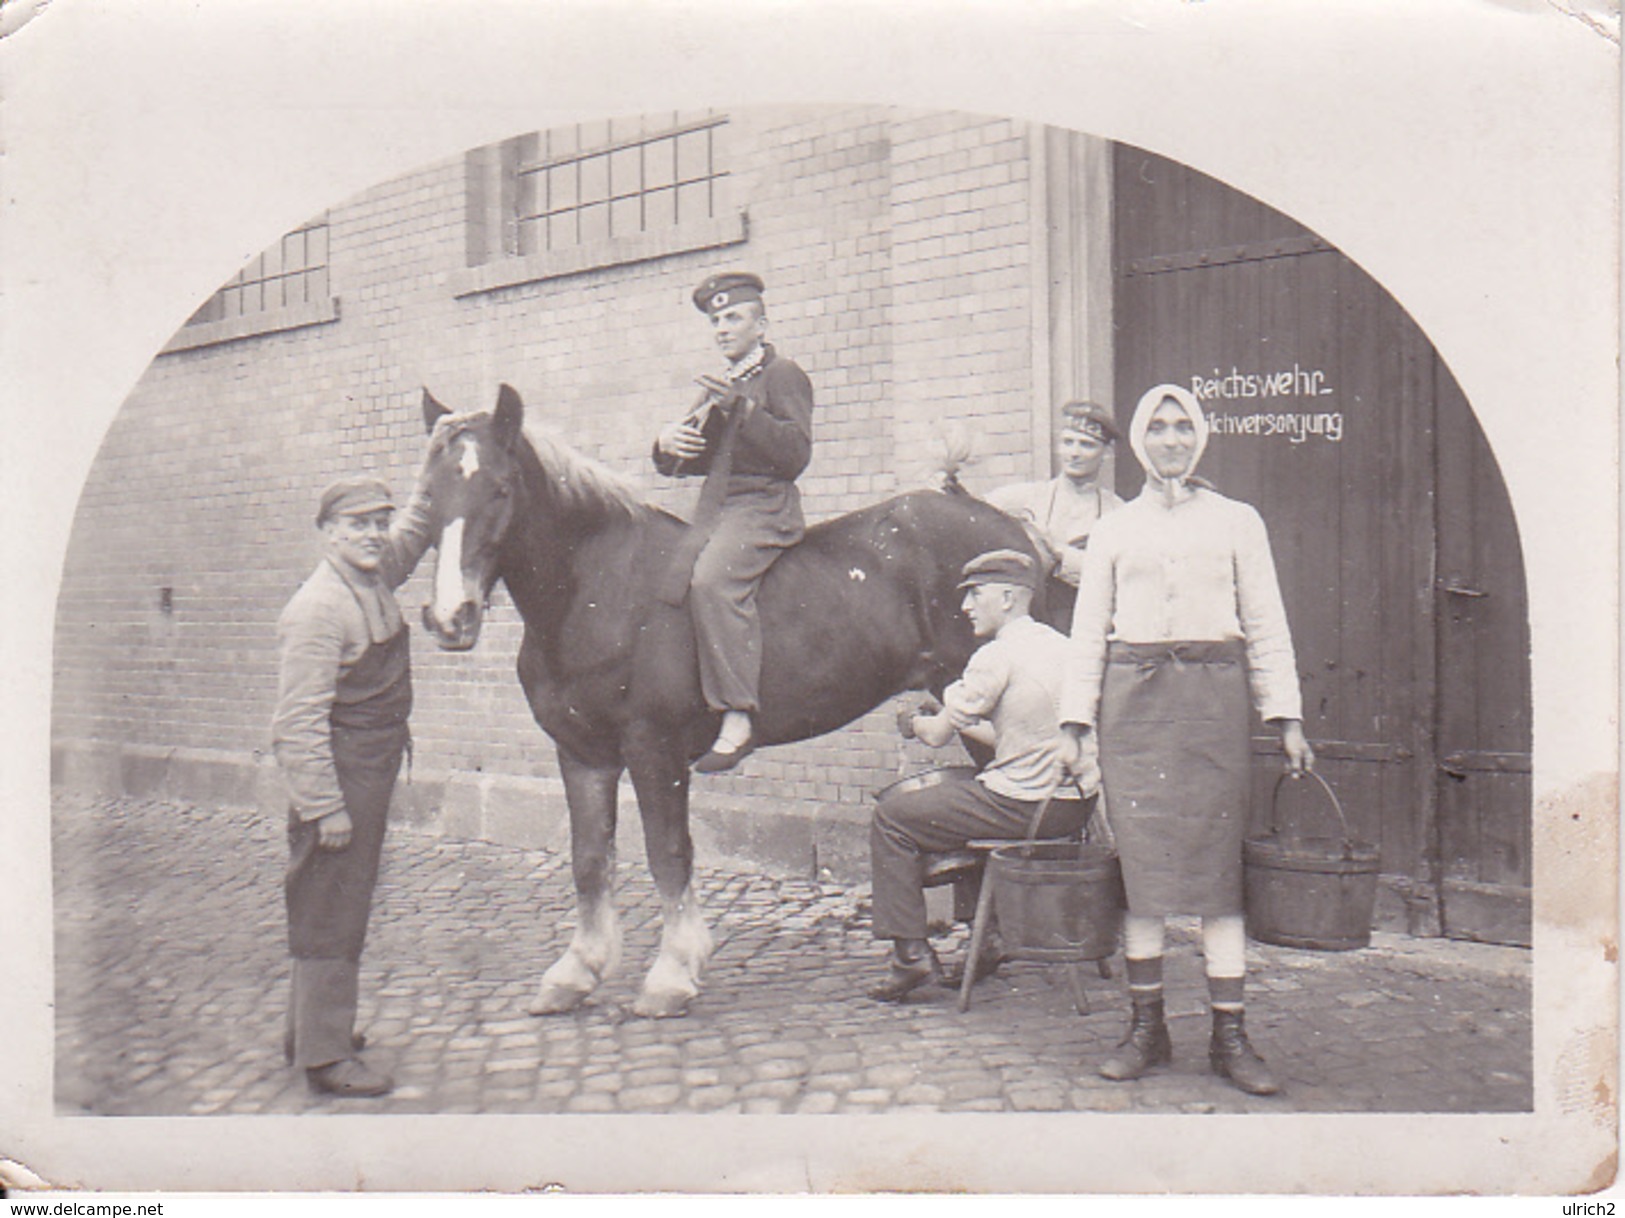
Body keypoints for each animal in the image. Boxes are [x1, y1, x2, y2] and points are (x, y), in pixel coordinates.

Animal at [412, 386, 1033, 1013]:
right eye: (429, 493)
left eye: (500, 487)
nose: (450, 618)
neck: (599, 589)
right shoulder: (582, 755)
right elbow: (589, 859)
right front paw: (577, 970)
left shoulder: (653, 749)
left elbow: (668, 853)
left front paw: (672, 973)